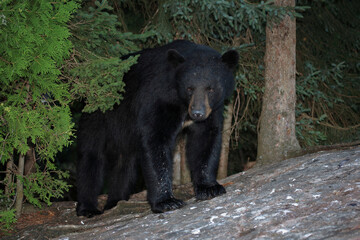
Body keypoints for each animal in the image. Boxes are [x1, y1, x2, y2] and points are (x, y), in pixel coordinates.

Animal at [76, 39, 238, 216]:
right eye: (189, 88)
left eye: (211, 88)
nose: (197, 113)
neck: (181, 103)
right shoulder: (158, 98)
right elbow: (156, 140)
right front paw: (167, 201)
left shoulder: (212, 110)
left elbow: (205, 139)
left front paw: (210, 188)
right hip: (98, 117)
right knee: (91, 157)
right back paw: (88, 208)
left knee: (125, 163)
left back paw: (115, 201)